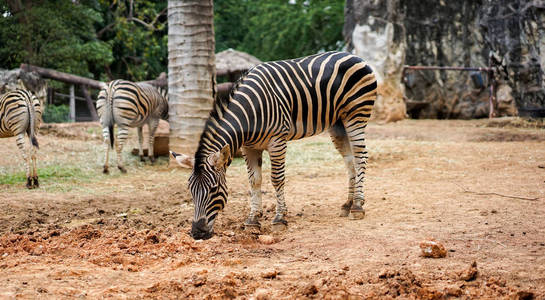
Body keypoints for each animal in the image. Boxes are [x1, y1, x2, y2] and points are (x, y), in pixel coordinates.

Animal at [175, 51, 378, 239]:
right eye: (191, 190)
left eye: (213, 189)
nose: (197, 233)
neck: (249, 115)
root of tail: (353, 55)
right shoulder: (249, 147)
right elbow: (254, 181)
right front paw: (253, 219)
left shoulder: (277, 141)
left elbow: (276, 179)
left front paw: (280, 218)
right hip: (338, 123)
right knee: (350, 160)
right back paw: (348, 204)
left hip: (356, 114)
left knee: (360, 157)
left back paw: (357, 206)